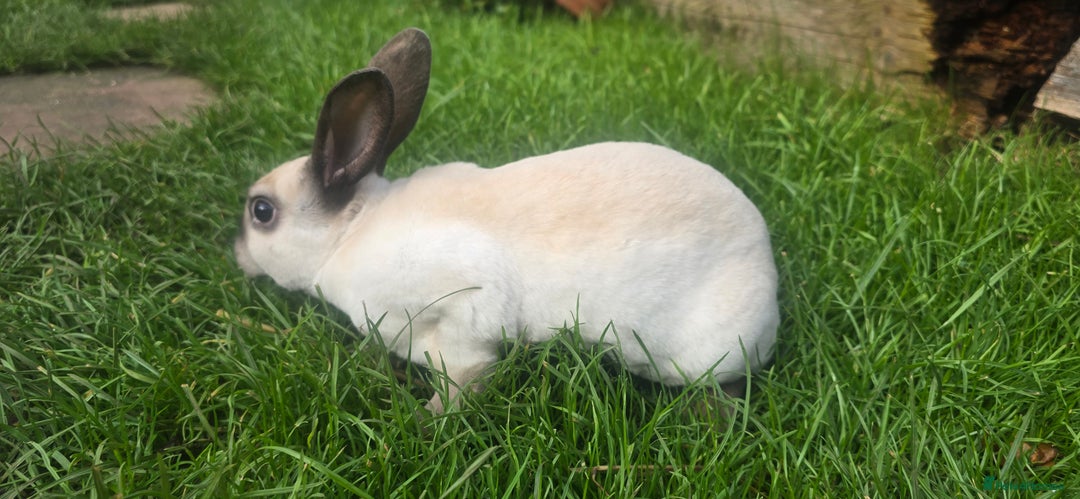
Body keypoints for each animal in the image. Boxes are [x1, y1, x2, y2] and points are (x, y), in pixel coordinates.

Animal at [234, 28, 779, 414]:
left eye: (261, 211)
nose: (237, 256)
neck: (347, 234)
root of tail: (768, 270)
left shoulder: (461, 311)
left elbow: (464, 376)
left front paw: (424, 425)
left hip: (705, 354)